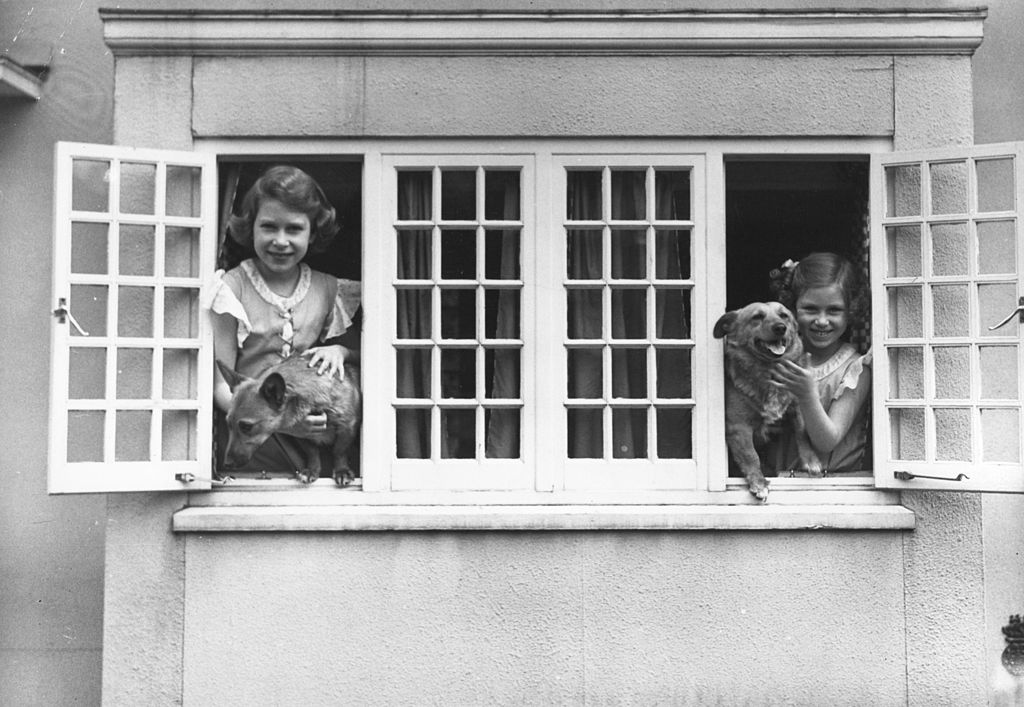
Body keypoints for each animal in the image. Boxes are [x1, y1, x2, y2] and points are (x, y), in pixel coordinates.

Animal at [216, 354, 360, 481]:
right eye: (228, 424)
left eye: (246, 427)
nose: (226, 464)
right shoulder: (302, 434)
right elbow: (312, 452)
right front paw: (312, 470)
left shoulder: (347, 427)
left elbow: (339, 451)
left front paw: (341, 470)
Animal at [716, 299, 819, 497]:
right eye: (757, 317)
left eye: (784, 316)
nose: (780, 328)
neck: (769, 370)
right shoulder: (739, 427)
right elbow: (751, 456)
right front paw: (759, 483)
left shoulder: (798, 408)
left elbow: (802, 433)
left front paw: (811, 460)